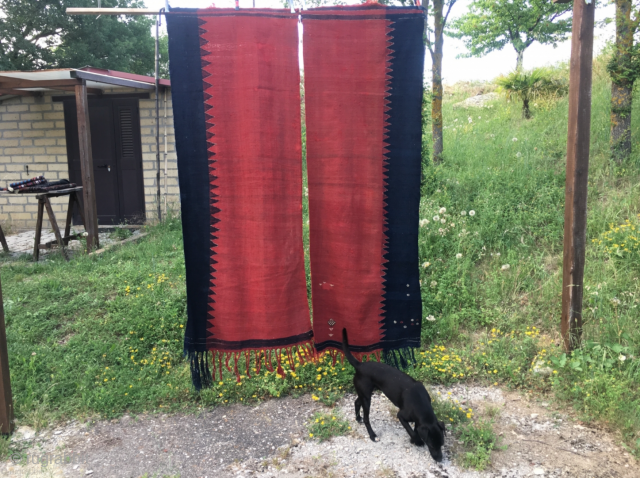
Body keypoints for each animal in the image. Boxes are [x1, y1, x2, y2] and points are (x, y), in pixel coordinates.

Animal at [344, 330, 444, 462]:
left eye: (442, 444)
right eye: (431, 445)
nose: (440, 459)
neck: (420, 403)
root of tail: (359, 365)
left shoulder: (418, 419)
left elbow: (416, 429)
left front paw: (415, 439)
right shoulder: (401, 416)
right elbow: (411, 431)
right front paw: (416, 440)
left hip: (365, 393)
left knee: (357, 402)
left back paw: (358, 418)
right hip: (366, 397)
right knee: (366, 418)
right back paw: (372, 435)